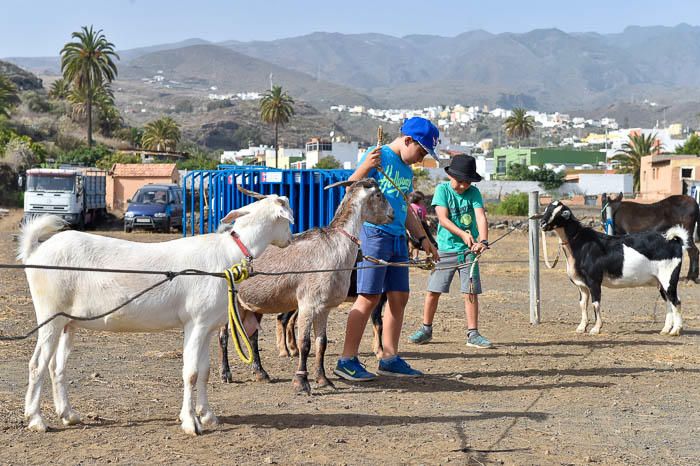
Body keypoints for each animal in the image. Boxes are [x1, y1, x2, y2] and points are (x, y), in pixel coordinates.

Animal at [19, 192, 292, 434]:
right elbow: (191, 373)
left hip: (68, 322)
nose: (290, 239)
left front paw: (206, 415)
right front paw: (191, 423)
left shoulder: (206, 326)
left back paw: (68, 414)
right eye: (286, 218)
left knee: (56, 366)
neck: (228, 254)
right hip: (49, 316)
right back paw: (36, 419)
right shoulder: (196, 323)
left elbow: (204, 371)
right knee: (37, 364)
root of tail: (36, 251)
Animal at [540, 200, 688, 334]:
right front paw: (581, 328)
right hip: (660, 281)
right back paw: (665, 329)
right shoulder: (581, 284)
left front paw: (596, 328)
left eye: (560, 213)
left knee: (676, 301)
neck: (581, 243)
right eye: (546, 209)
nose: (542, 223)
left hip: (669, 277)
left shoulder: (594, 280)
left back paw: (676, 330)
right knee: (668, 301)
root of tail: (674, 240)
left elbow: (595, 303)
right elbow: (582, 304)